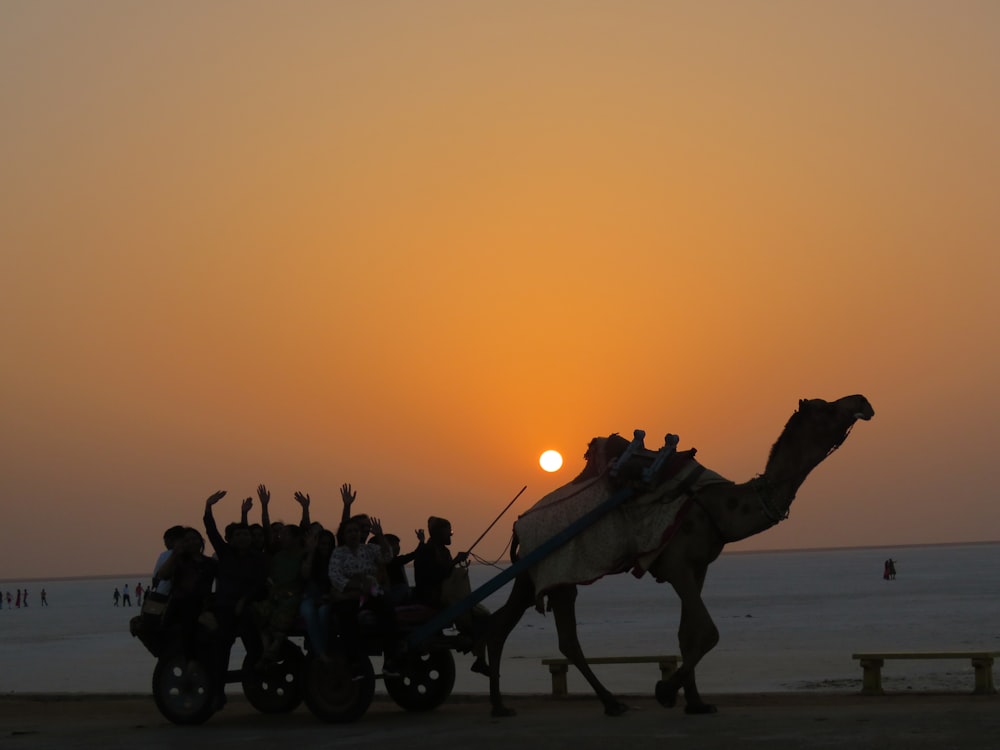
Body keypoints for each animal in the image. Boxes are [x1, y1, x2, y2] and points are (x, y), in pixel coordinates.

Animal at [486, 394, 876, 716]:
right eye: (826, 408)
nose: (862, 400)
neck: (719, 507)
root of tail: (518, 526)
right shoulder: (676, 565)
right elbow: (708, 632)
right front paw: (665, 691)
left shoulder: (699, 567)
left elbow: (687, 634)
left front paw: (697, 703)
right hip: (559, 571)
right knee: (563, 636)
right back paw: (609, 702)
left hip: (533, 574)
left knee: (503, 623)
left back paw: (504, 705)